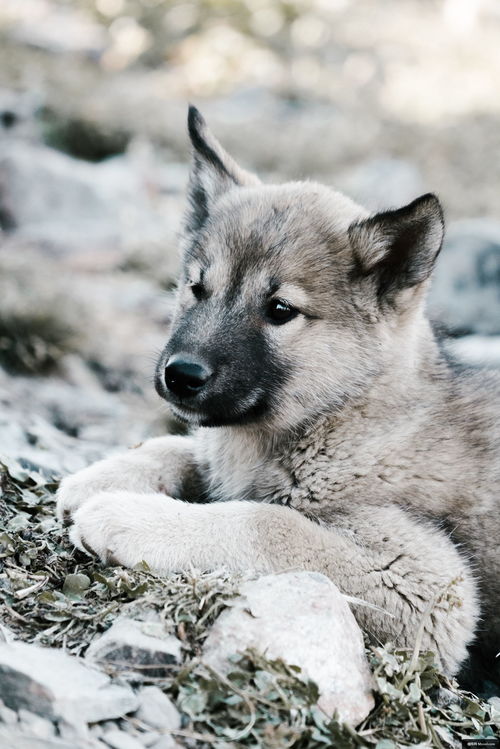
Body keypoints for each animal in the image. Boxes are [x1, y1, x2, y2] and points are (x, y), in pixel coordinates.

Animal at [56, 106, 498, 676]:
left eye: (281, 310)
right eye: (197, 288)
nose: (180, 374)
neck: (344, 417)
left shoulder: (427, 585)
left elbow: (268, 522)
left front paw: (126, 516)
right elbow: (181, 448)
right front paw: (102, 476)